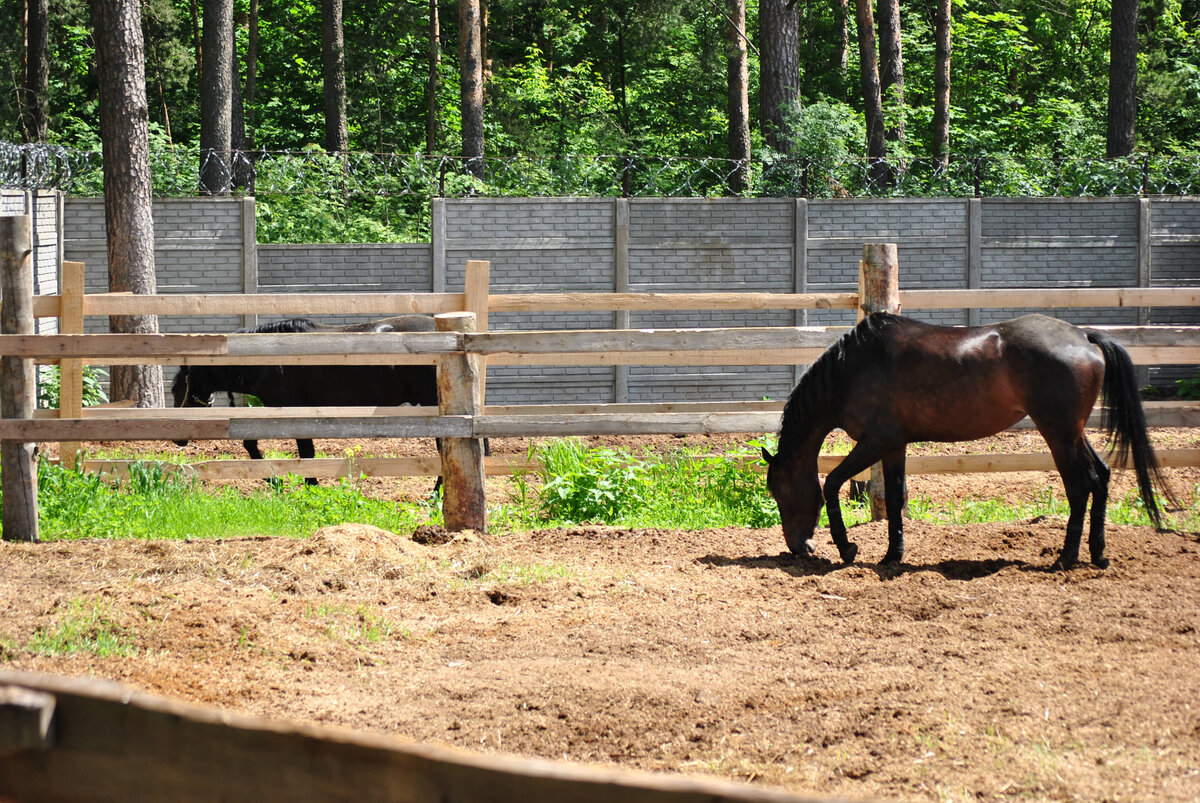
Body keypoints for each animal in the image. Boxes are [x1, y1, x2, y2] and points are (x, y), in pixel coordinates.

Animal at [175, 316, 439, 484]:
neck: (269, 360)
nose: (178, 439)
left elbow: (303, 452)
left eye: (177, 388)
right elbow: (254, 444)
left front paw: (300, 486)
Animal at [758, 309, 1171, 566]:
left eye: (780, 492)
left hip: (1058, 434)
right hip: (1073, 432)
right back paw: (1097, 555)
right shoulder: (894, 446)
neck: (853, 369)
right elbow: (894, 499)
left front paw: (848, 548)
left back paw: (1067, 557)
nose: (799, 547)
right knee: (1100, 478)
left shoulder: (874, 441)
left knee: (1080, 485)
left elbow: (830, 483)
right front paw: (892, 555)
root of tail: (1082, 337)